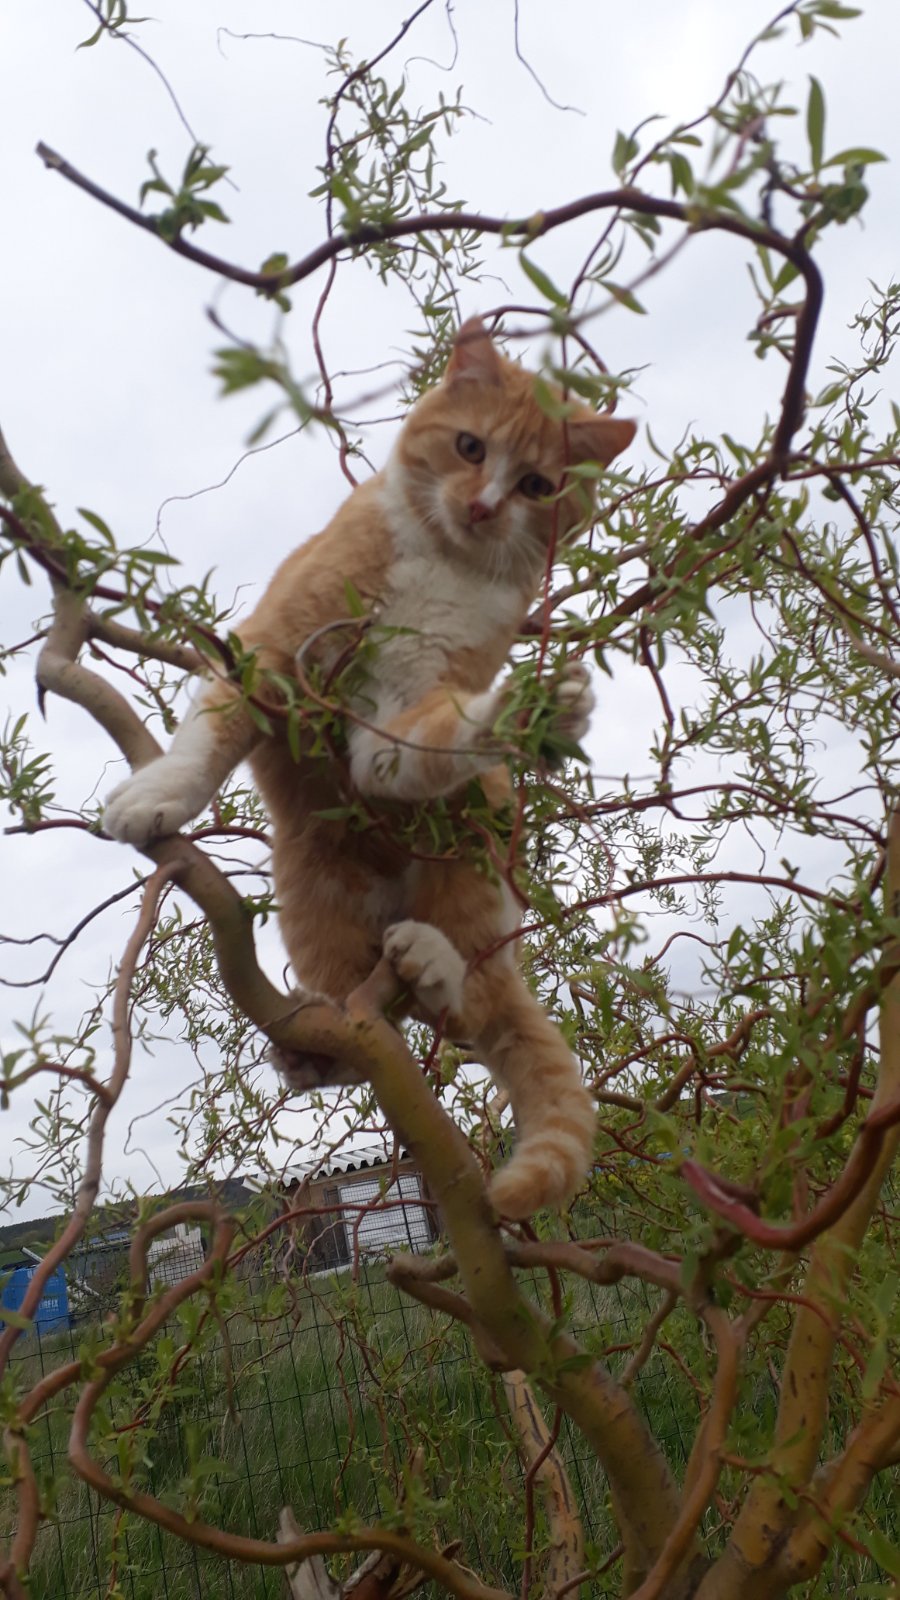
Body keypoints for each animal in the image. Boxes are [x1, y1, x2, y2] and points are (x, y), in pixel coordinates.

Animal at [104, 316, 636, 1218]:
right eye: (469, 447)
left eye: (536, 483)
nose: (483, 506)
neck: (445, 565)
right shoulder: (275, 654)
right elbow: (209, 740)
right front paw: (159, 797)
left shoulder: (398, 722)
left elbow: (434, 739)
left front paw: (526, 713)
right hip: (317, 905)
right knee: (368, 1027)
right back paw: (315, 1050)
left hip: (475, 860)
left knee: (471, 1005)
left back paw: (435, 964)